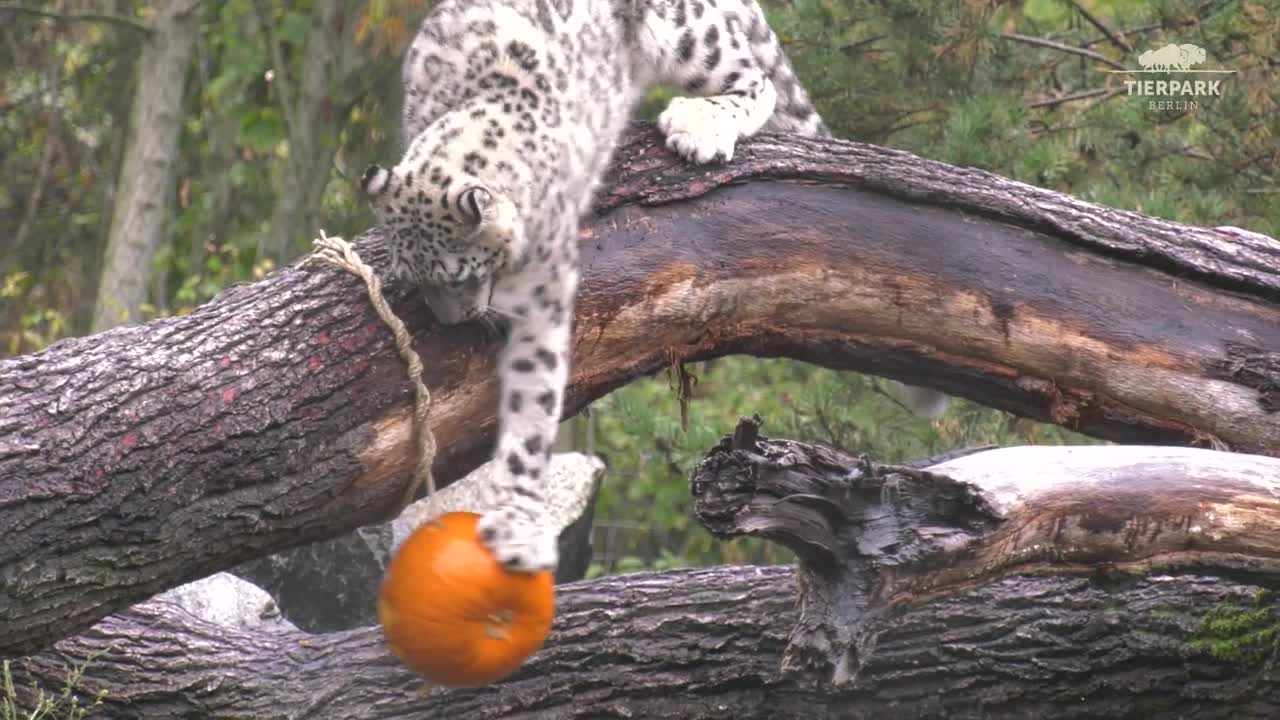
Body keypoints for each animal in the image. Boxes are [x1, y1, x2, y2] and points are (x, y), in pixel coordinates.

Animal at [360, 0, 952, 571]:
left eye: (464, 273)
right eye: (414, 278)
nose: (452, 319)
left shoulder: (545, 288)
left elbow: (533, 398)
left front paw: (517, 525)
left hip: (690, 32)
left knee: (757, 79)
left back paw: (698, 125)